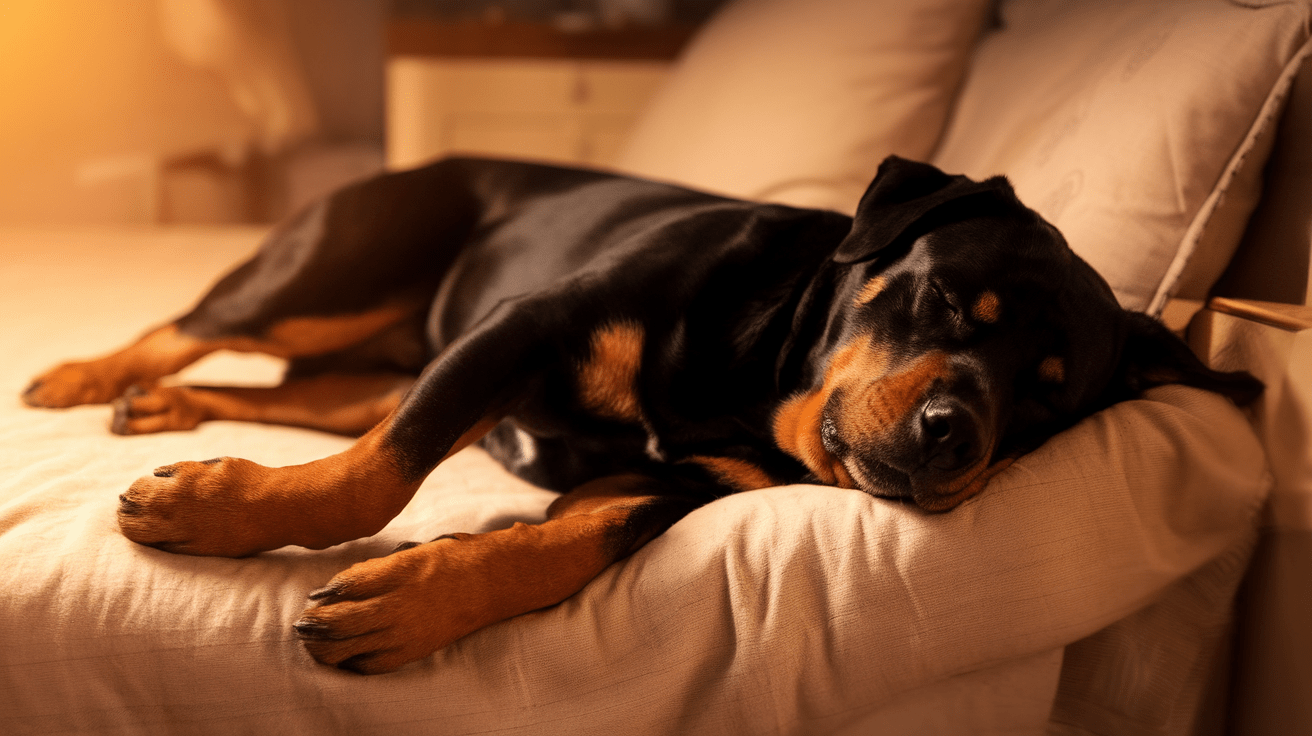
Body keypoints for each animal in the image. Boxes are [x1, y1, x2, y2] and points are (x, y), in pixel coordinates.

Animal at [23, 158, 1259, 676]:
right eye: (953, 300)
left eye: (1047, 395)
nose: (958, 430)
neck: (761, 368)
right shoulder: (521, 325)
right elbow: (380, 475)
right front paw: (216, 516)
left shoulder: (677, 484)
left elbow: (564, 545)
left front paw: (413, 601)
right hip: (332, 276)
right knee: (197, 320)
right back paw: (87, 376)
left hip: (381, 355)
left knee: (297, 394)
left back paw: (163, 408)